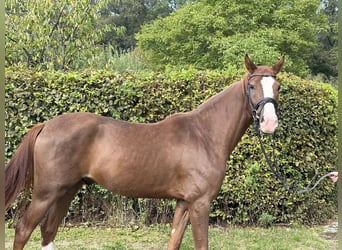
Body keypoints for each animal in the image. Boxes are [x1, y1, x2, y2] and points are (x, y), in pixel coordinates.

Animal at [5, 54, 284, 250]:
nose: (269, 123)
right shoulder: (200, 203)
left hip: (67, 190)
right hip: (46, 192)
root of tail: (46, 125)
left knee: (48, 232)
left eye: (278, 86)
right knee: (23, 230)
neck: (204, 134)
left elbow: (174, 241)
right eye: (252, 86)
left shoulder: (184, 202)